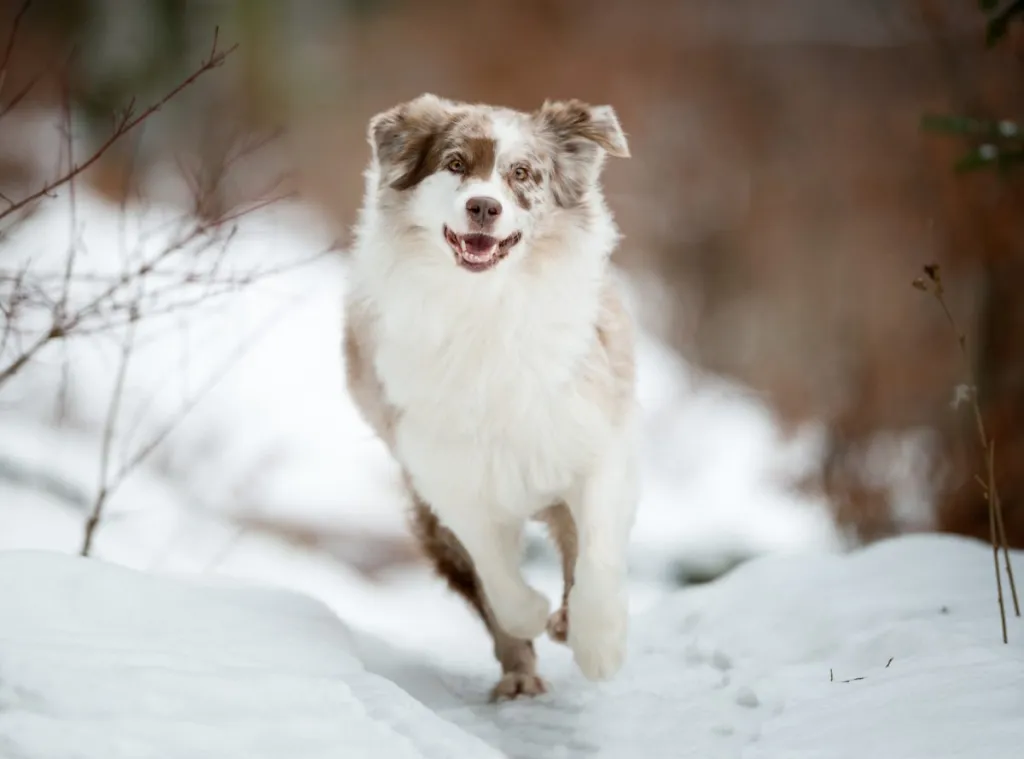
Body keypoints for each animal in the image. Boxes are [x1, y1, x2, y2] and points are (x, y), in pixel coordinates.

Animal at [344, 93, 638, 700]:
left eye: (521, 173)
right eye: (455, 164)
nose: (483, 207)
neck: (487, 306)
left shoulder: (595, 440)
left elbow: (597, 556)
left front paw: (599, 648)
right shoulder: (447, 475)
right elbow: (497, 578)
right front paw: (531, 615)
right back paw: (520, 674)